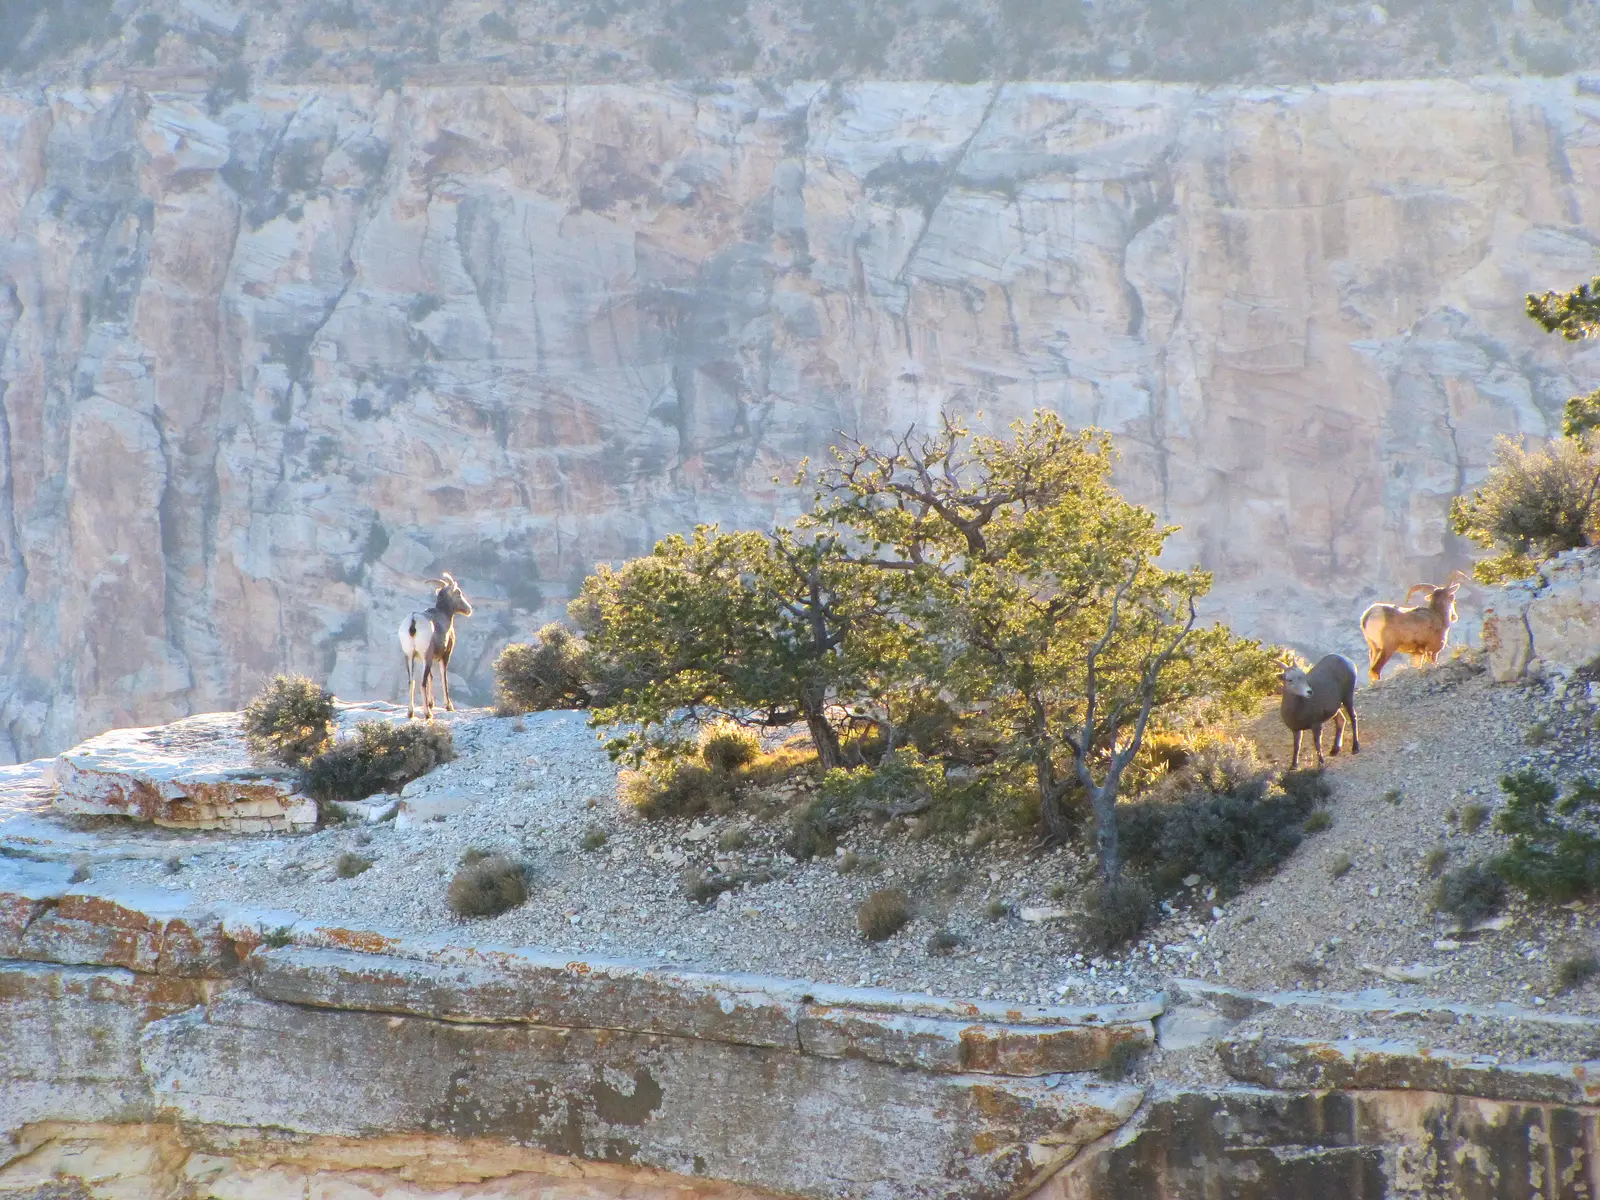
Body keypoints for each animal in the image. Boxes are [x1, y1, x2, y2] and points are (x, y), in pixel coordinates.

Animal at [398, 573, 473, 720]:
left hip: (409, 657)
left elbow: (431, 678)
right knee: (422, 683)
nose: (469, 610)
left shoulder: (426, 658)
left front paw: (431, 703)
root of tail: (413, 621)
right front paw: (448, 706)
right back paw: (428, 714)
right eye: (459, 593)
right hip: (425, 657)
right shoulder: (444, 656)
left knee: (412, 681)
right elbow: (444, 679)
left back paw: (410, 713)